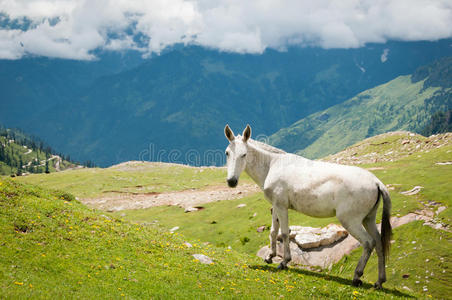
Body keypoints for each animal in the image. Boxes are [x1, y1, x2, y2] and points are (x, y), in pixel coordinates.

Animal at [225, 124, 392, 288]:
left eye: (244, 154)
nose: (231, 181)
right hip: (368, 219)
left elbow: (284, 233)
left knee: (368, 243)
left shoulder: (281, 207)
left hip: (350, 221)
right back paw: (379, 281)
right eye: (227, 153)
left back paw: (357, 276)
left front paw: (284, 262)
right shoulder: (276, 206)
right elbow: (273, 231)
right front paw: (270, 257)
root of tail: (376, 182)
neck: (272, 165)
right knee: (379, 243)